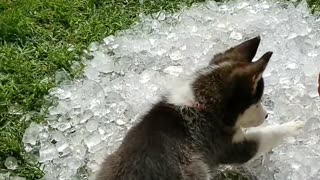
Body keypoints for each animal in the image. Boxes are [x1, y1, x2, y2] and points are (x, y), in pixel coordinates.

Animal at [97, 35, 304, 179]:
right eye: (256, 101)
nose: (266, 115)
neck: (201, 105)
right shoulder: (232, 148)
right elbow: (270, 134)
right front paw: (296, 126)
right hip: (196, 169)